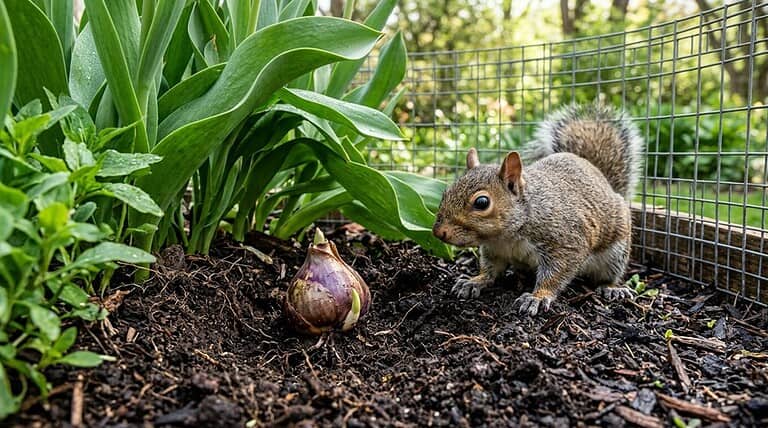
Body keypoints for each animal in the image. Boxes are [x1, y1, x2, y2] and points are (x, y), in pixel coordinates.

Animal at [432, 103, 643, 316]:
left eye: (482, 202)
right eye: (445, 192)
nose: (438, 232)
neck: (506, 236)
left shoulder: (566, 242)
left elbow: (556, 273)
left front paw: (538, 297)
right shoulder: (494, 250)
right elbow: (490, 269)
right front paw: (475, 281)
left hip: (616, 252)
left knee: (609, 275)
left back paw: (613, 288)